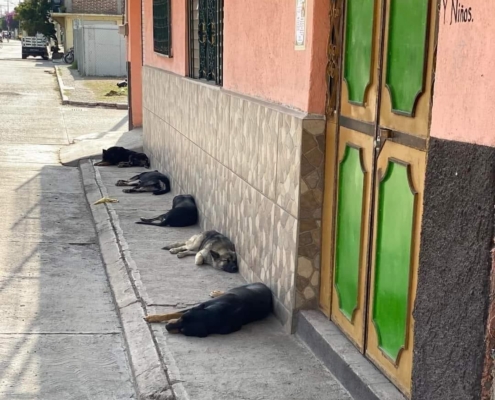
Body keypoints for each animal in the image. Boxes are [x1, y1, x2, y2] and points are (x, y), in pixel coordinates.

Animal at [145, 282, 274, 338]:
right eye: (182, 318)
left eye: (183, 330)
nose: (167, 327)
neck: (217, 314)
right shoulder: (198, 306)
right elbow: (172, 313)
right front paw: (153, 317)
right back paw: (217, 293)